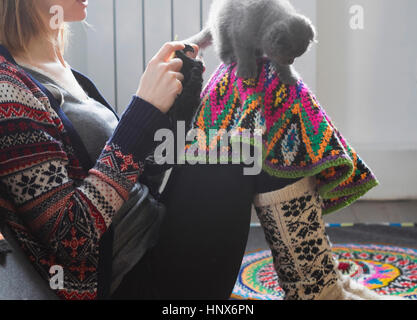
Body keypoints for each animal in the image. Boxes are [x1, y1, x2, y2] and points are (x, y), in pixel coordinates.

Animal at [185, 0, 316, 85]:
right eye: (290, 56)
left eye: (294, 57)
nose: (291, 61)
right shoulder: (240, 34)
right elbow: (245, 55)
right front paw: (246, 72)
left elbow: (281, 65)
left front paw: (288, 76)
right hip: (221, 28)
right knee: (222, 47)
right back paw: (230, 57)